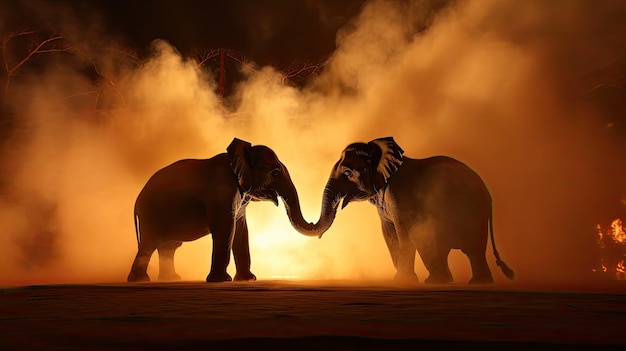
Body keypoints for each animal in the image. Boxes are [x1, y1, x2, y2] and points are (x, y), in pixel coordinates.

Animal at [127, 138, 314, 284]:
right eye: (275, 173)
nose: (313, 223)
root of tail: (137, 200)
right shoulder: (223, 193)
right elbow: (227, 229)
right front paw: (223, 280)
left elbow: (241, 230)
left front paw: (248, 279)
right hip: (151, 215)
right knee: (150, 244)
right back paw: (140, 280)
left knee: (168, 247)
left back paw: (171, 279)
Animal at [298, 136, 512, 284]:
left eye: (348, 173)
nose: (319, 234)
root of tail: (487, 193)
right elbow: (389, 233)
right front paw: (399, 277)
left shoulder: (399, 195)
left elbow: (403, 232)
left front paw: (403, 280)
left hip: (473, 212)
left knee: (470, 248)